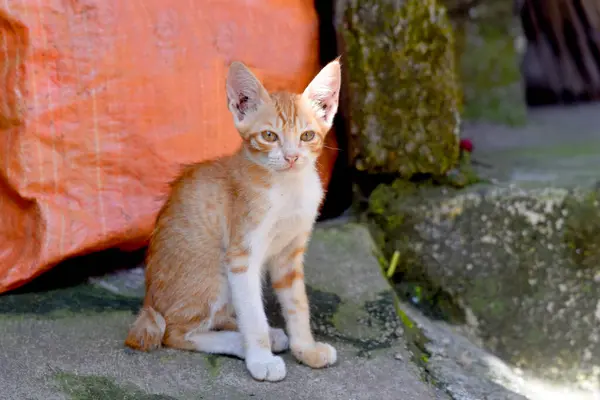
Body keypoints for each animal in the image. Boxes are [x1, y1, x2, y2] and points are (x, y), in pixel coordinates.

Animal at [125, 58, 342, 382]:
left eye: (307, 136)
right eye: (269, 136)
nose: (291, 157)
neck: (288, 188)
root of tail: (150, 303)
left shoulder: (289, 254)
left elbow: (297, 305)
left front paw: (306, 349)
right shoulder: (242, 257)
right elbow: (252, 313)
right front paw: (261, 360)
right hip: (212, 273)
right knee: (175, 331)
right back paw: (241, 343)